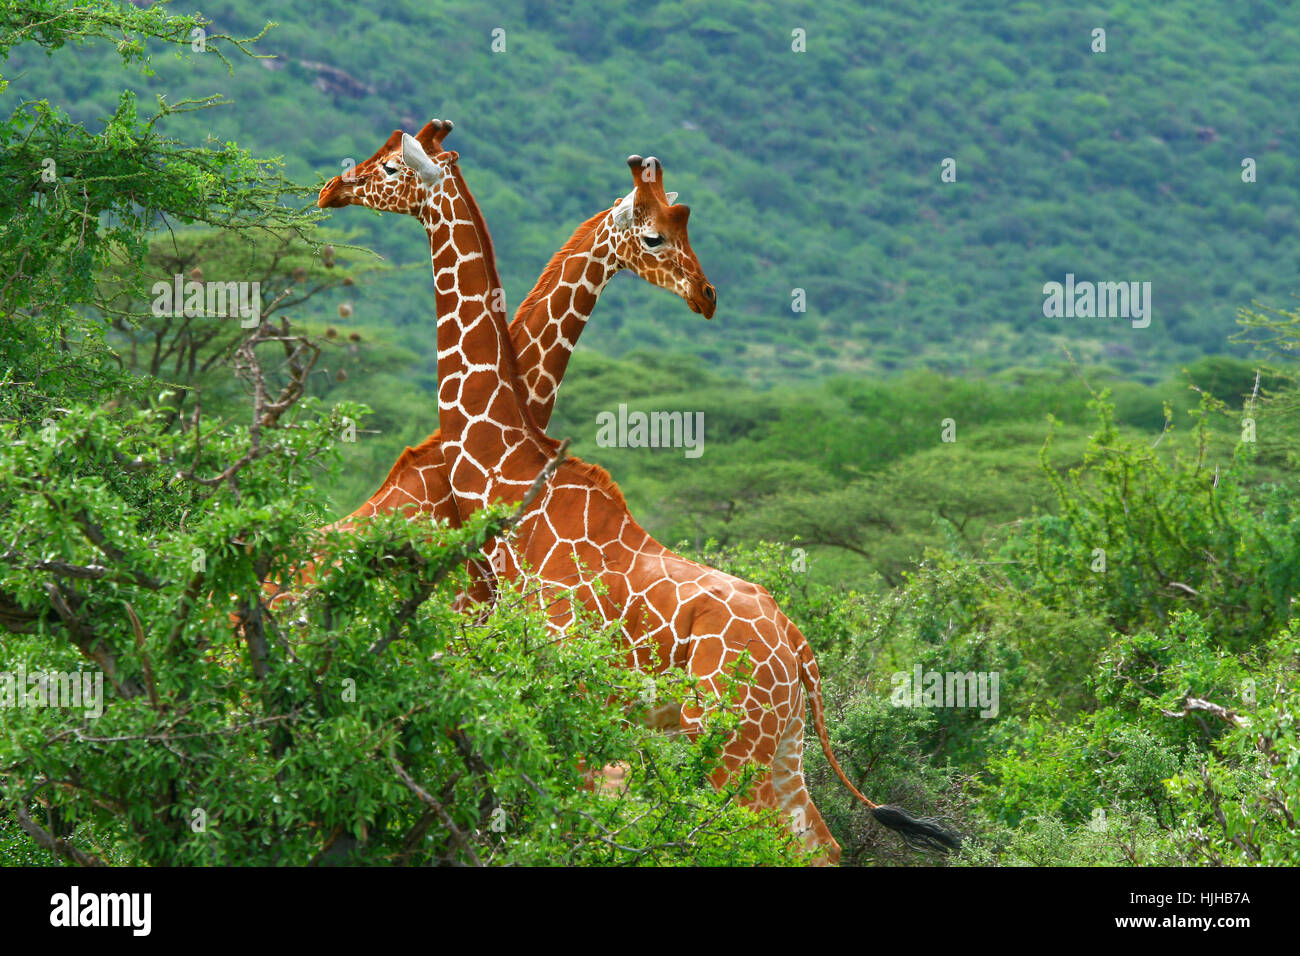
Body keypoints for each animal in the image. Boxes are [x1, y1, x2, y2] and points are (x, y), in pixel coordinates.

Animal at [319, 121, 961, 868]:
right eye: (658, 233)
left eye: (391, 165)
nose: (332, 188)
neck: (511, 484)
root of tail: (800, 651)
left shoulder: (557, 689)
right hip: (777, 747)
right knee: (819, 846)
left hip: (728, 742)